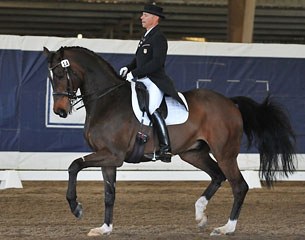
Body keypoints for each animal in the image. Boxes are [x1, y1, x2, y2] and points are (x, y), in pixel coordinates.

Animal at [43, 45, 294, 236]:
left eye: (60, 75)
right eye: (50, 78)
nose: (60, 111)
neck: (107, 100)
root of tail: (230, 103)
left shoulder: (112, 155)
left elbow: (74, 165)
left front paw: (76, 208)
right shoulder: (109, 159)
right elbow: (109, 194)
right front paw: (105, 229)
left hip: (225, 153)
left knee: (239, 185)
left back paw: (226, 228)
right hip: (193, 153)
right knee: (217, 176)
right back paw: (200, 214)